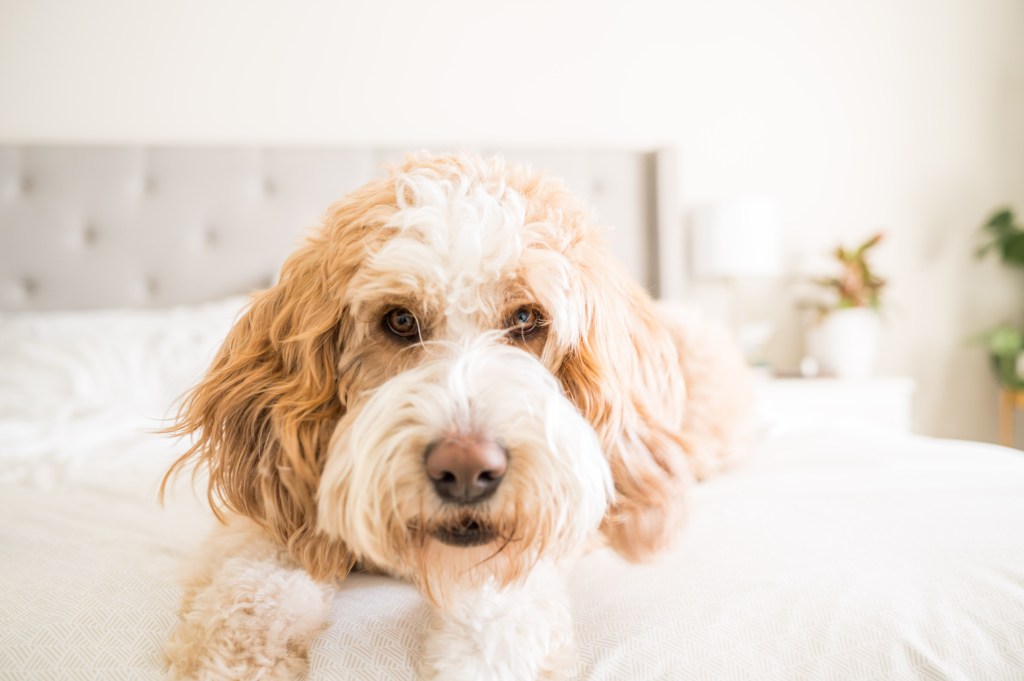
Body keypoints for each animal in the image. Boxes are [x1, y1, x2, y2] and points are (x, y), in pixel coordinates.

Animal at [161, 151, 753, 675]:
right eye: (400, 320)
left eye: (526, 319)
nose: (466, 469)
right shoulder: (272, 514)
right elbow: (249, 590)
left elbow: (499, 612)